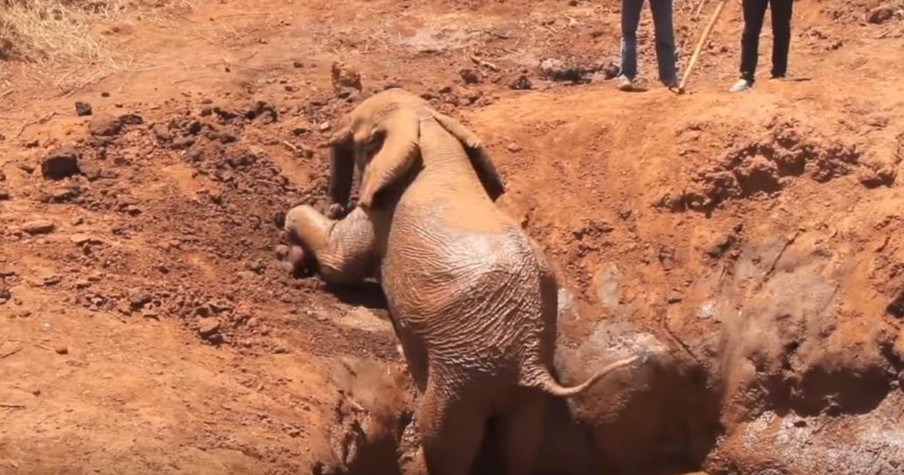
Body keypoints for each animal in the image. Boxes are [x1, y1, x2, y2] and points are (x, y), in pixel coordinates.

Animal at [282, 87, 644, 474]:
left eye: (363, 138)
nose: (335, 205)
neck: (429, 126)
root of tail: (531, 362)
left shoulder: (379, 213)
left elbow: (339, 263)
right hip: (519, 393)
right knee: (521, 443)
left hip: (462, 374)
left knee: (443, 437)